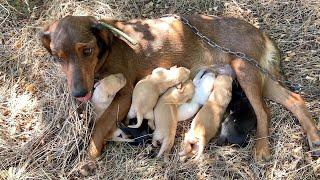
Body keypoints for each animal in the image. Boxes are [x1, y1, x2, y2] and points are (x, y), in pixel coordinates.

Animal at [40, 14, 320, 162]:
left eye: (86, 51)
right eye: (58, 57)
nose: (78, 93)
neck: (108, 48)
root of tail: (260, 32)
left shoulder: (127, 92)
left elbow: (100, 123)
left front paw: (89, 156)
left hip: (245, 69)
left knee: (263, 112)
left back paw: (262, 148)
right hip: (258, 76)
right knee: (295, 100)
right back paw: (314, 137)